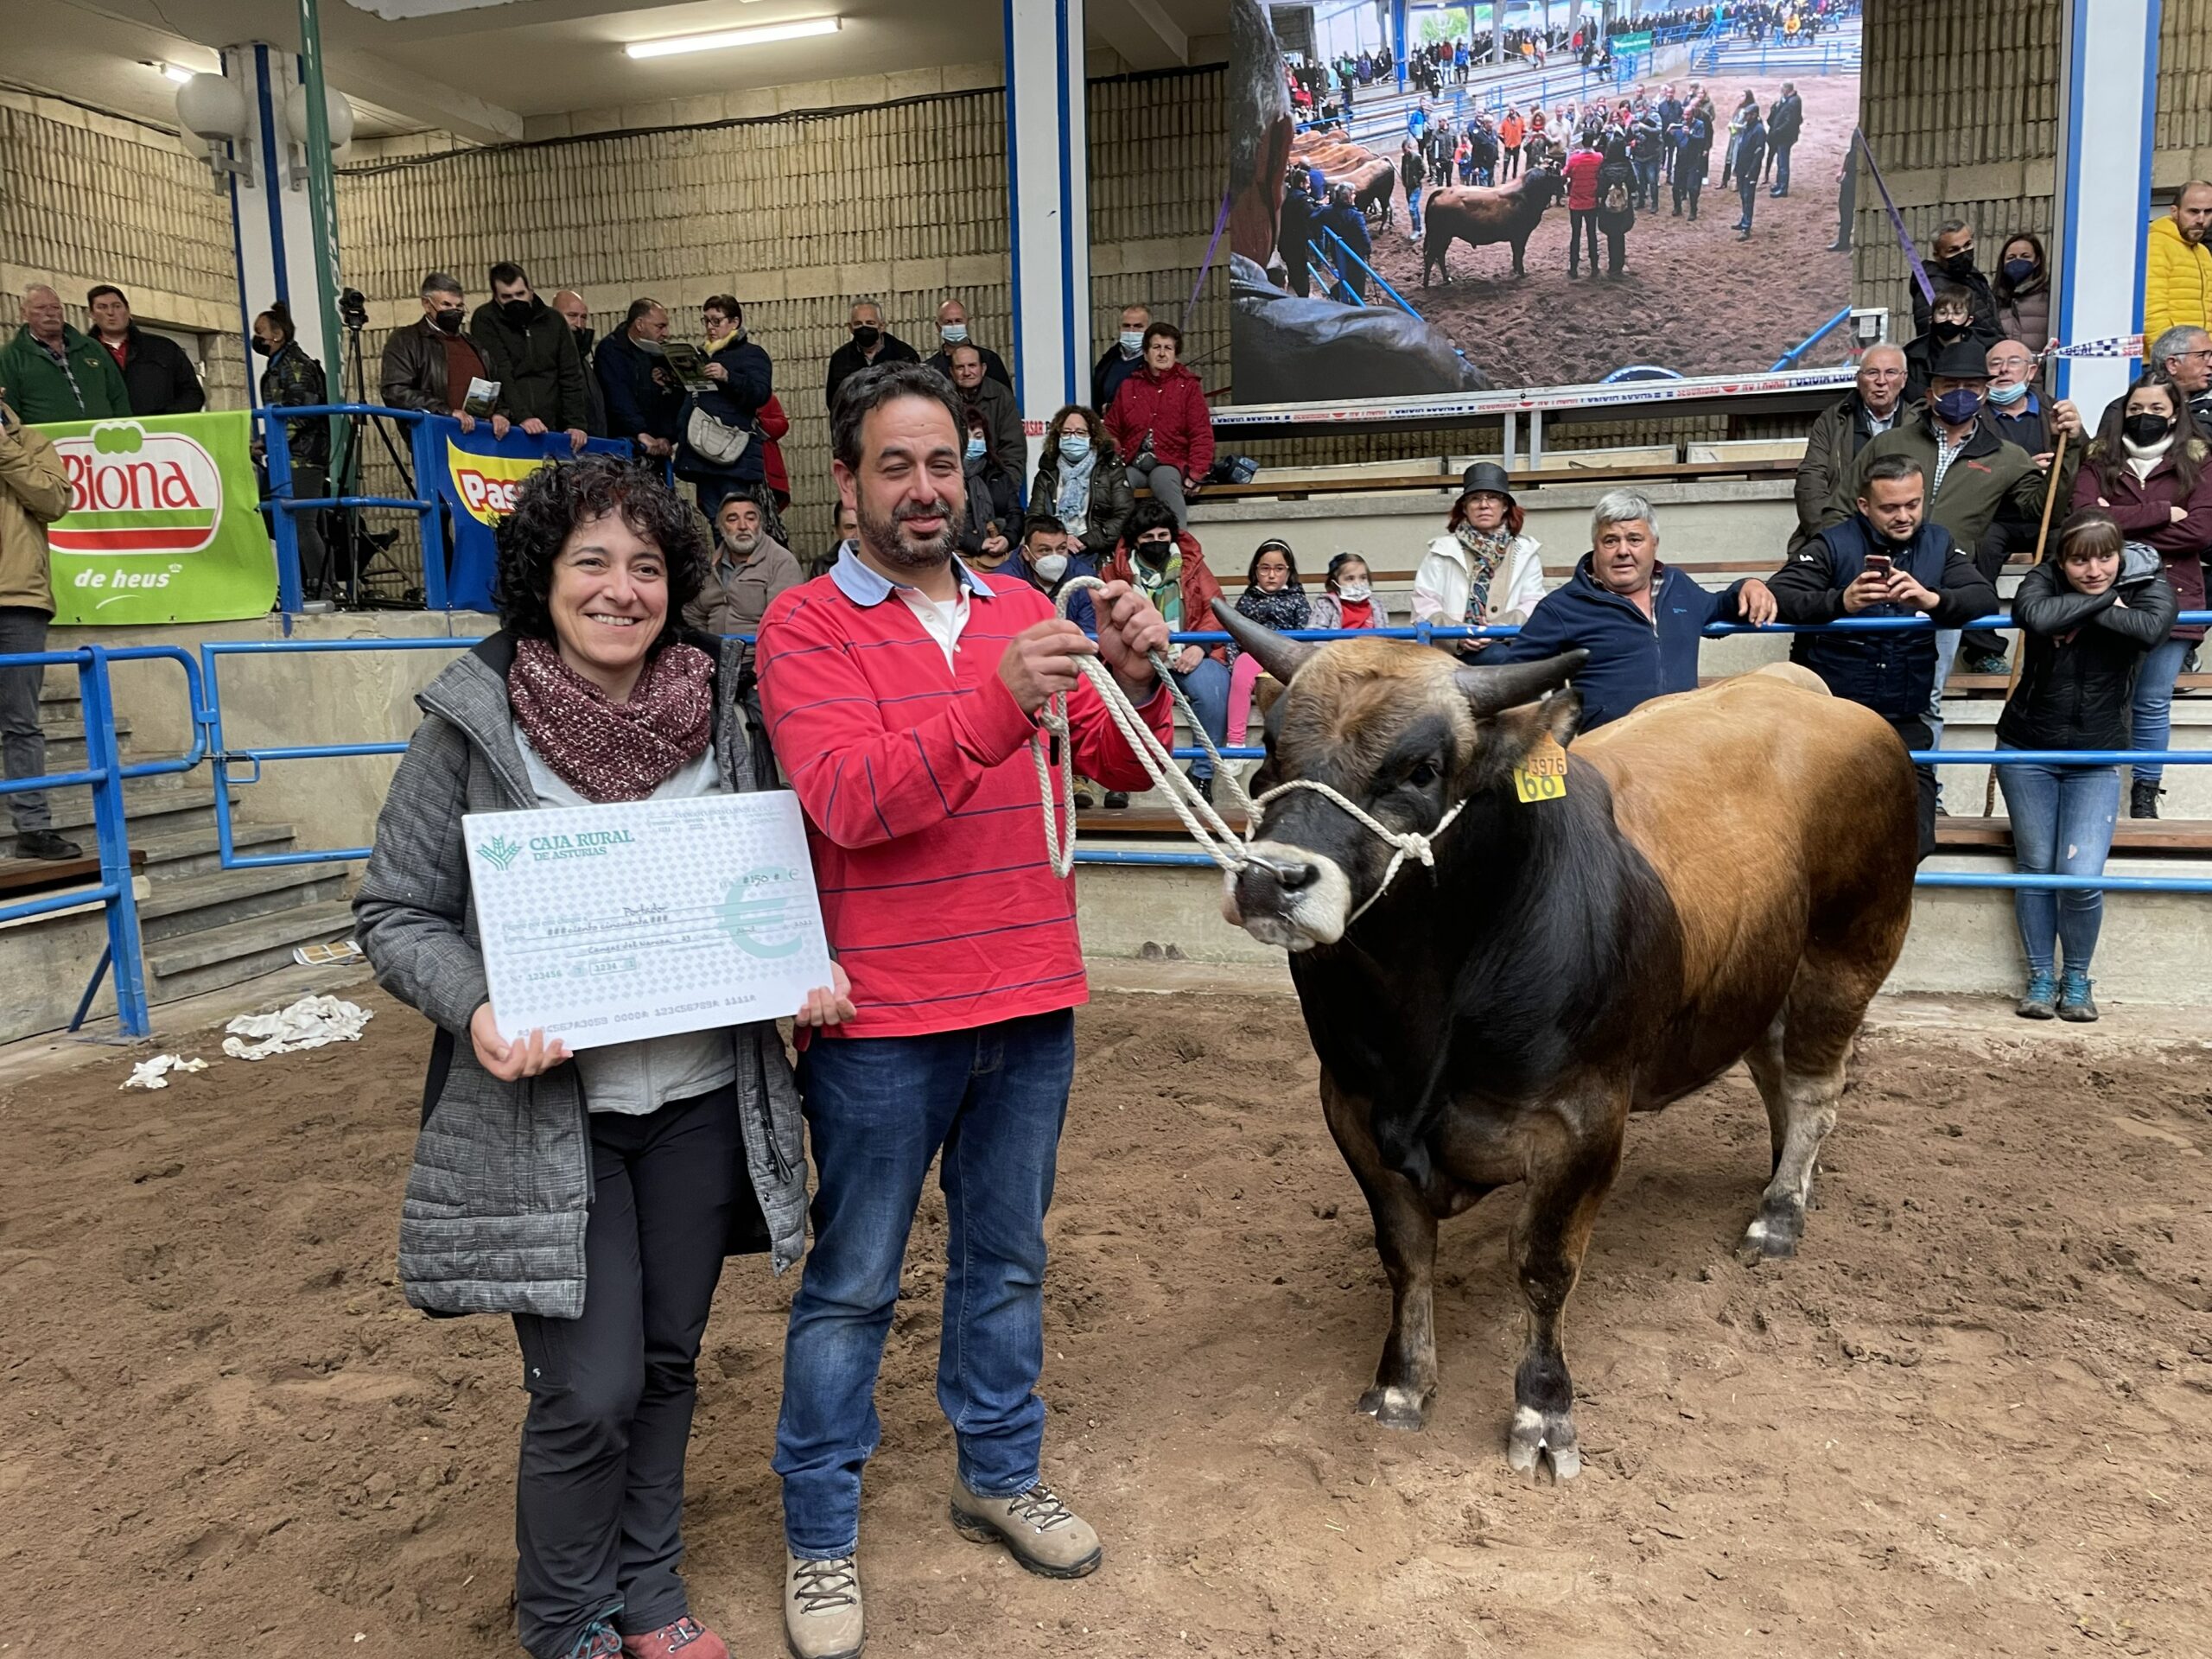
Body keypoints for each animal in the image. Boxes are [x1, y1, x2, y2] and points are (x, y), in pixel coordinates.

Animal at [1211, 606, 1920, 1478]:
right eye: (1274, 750)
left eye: (1422, 769)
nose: (1269, 878)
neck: (1423, 1011)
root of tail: (1802, 691)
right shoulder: (1350, 1104)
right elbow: (1405, 1254)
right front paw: (1403, 1383)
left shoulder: (1582, 1122)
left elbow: (1545, 1268)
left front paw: (1543, 1411)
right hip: (1760, 973)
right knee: (1775, 1075)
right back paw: (1784, 1175)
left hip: (1847, 953)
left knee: (1816, 1088)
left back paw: (1781, 1215)